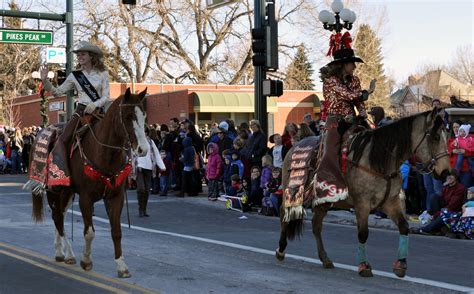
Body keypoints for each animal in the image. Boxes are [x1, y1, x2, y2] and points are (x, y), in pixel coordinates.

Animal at [26, 87, 148, 278]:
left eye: (144, 115)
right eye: (128, 116)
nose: (143, 149)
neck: (105, 153)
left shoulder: (116, 197)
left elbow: (116, 232)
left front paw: (121, 266)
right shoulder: (86, 197)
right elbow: (89, 232)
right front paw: (86, 261)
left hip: (67, 193)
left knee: (59, 217)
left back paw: (60, 252)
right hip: (54, 191)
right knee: (58, 218)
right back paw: (69, 254)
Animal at [276, 108, 450, 278]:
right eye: (435, 137)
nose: (446, 172)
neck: (378, 161)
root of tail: (297, 144)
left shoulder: (391, 202)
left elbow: (404, 227)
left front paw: (401, 264)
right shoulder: (362, 204)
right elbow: (363, 233)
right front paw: (364, 266)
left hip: (323, 201)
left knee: (316, 226)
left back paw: (325, 259)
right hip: (291, 192)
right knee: (284, 215)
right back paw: (281, 250)